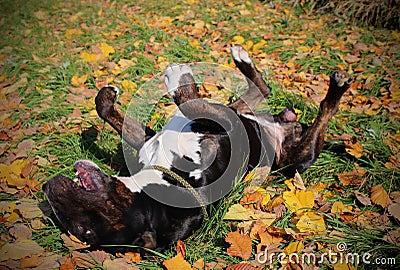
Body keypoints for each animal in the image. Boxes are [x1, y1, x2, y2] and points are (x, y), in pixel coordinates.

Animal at [42, 44, 352, 251]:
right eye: (82, 229)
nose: (47, 189)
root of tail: (284, 129)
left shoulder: (153, 137)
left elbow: (109, 110)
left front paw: (108, 95)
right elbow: (189, 101)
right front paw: (178, 78)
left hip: (241, 116)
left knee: (259, 92)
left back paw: (242, 57)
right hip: (295, 153)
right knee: (316, 108)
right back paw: (335, 87)